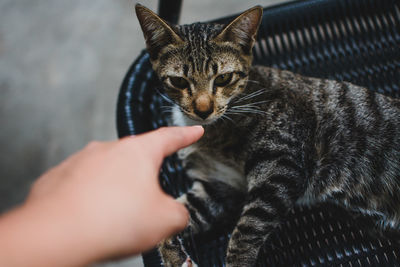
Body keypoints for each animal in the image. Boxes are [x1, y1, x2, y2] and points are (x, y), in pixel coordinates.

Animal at [135, 4, 400, 267]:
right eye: (179, 81)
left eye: (223, 78)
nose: (203, 110)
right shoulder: (219, 186)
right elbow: (173, 216)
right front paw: (174, 257)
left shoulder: (281, 165)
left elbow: (245, 232)